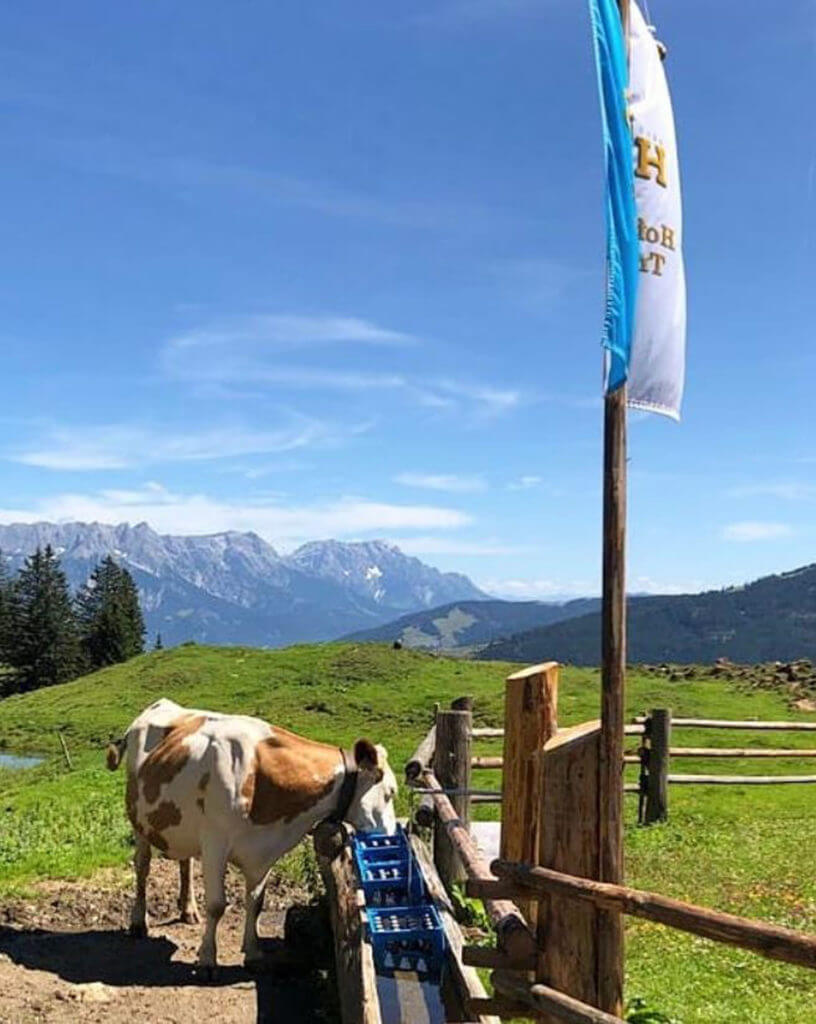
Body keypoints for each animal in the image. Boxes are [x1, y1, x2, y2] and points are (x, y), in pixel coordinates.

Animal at [106, 696, 399, 974]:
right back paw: (138, 922)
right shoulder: (215, 843)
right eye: (391, 792)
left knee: (185, 863)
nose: (389, 835)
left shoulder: (264, 851)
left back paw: (188, 910)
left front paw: (253, 953)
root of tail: (160, 705)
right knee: (142, 867)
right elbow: (217, 905)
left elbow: (256, 902)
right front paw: (208, 959)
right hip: (141, 823)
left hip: (181, 826)